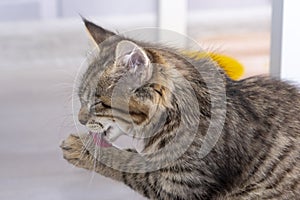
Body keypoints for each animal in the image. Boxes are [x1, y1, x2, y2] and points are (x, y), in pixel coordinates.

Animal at [59, 19, 298, 200]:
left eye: (97, 103)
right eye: (81, 99)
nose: (80, 119)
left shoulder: (181, 184)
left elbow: (131, 164)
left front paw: (83, 148)